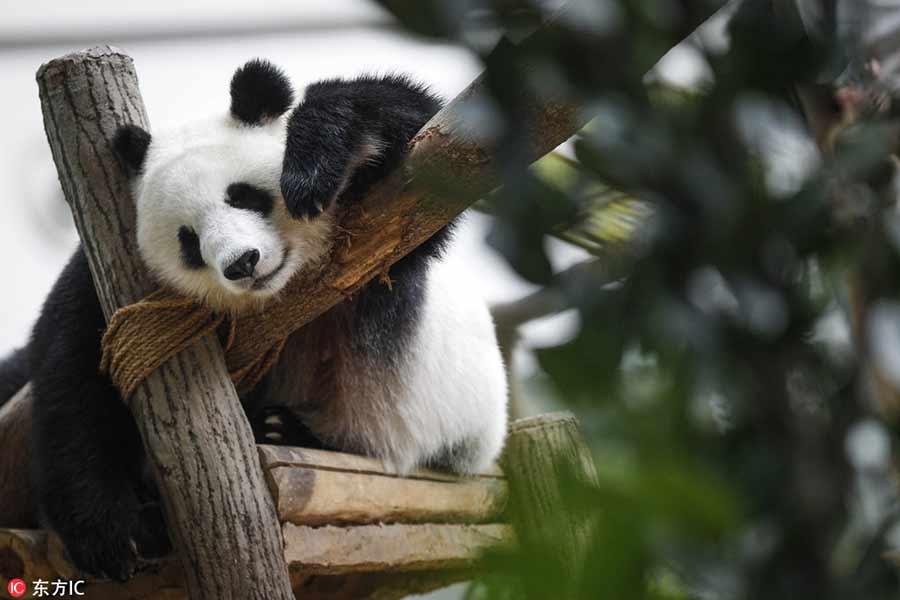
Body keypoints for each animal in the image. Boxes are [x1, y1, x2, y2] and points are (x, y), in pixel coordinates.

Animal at [0, 60, 508, 580]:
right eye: (188, 239)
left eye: (244, 197)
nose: (242, 263)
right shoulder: (113, 278)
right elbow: (73, 372)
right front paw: (113, 534)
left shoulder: (388, 225)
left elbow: (424, 155)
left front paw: (313, 167)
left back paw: (281, 430)